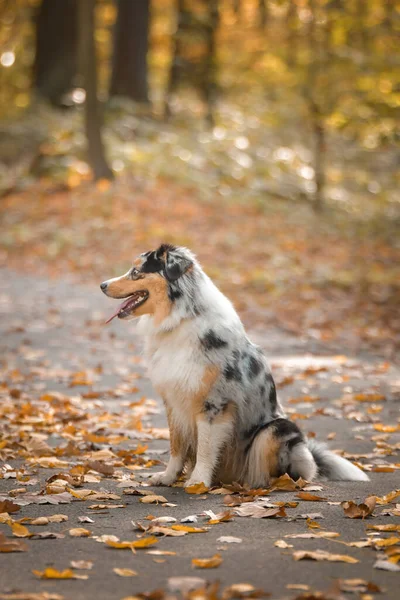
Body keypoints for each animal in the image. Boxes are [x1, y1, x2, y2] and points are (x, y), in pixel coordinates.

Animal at [101, 244, 368, 488]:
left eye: (136, 271)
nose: (102, 284)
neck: (180, 319)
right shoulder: (174, 400)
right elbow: (176, 445)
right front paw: (168, 477)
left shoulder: (214, 404)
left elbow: (206, 448)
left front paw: (198, 481)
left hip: (276, 430)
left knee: (287, 472)